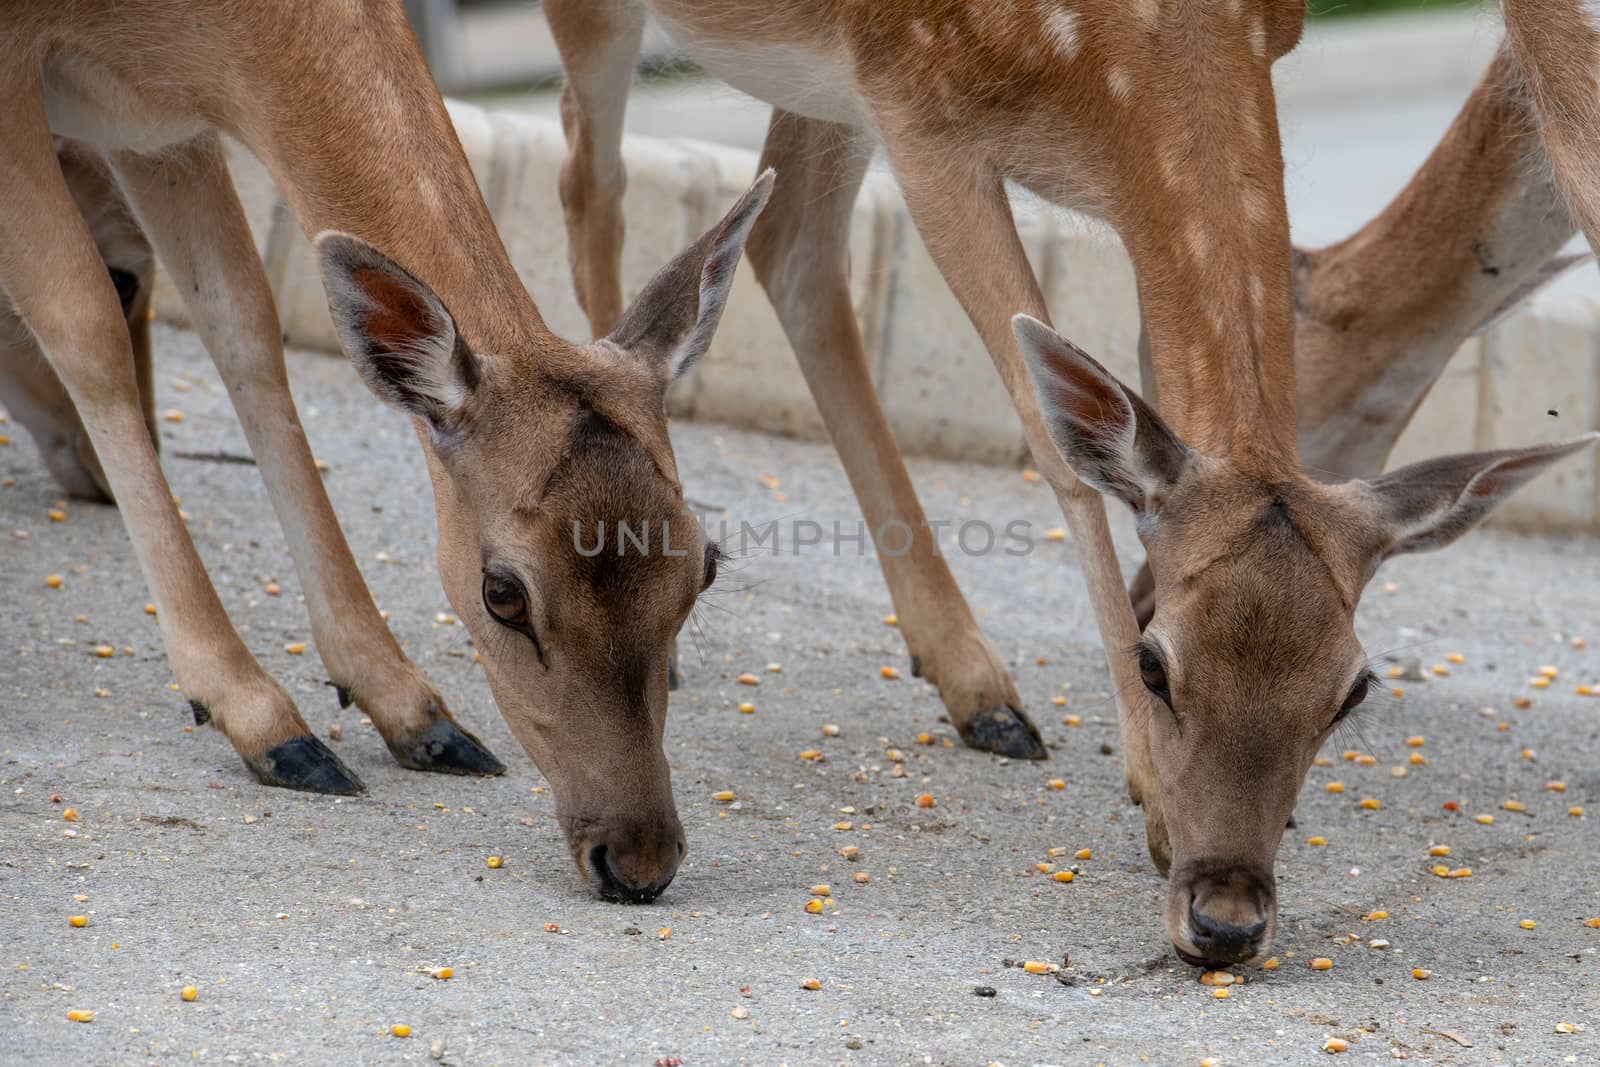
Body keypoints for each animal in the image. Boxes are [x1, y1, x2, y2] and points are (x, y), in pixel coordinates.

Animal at [0, 0, 771, 908]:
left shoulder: (158, 126)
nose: (640, 858)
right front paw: (257, 715)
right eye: (502, 593)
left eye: (706, 567)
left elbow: (244, 323)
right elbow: (85, 328)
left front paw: (413, 711)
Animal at [553, 0, 1600, 966]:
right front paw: (1150, 788)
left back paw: (975, 688)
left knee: (789, 243)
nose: (1227, 919)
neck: (1129, 48)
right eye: (1154, 664)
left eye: (1351, 692)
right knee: (594, 179)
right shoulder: (923, 118)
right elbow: (1053, 433)